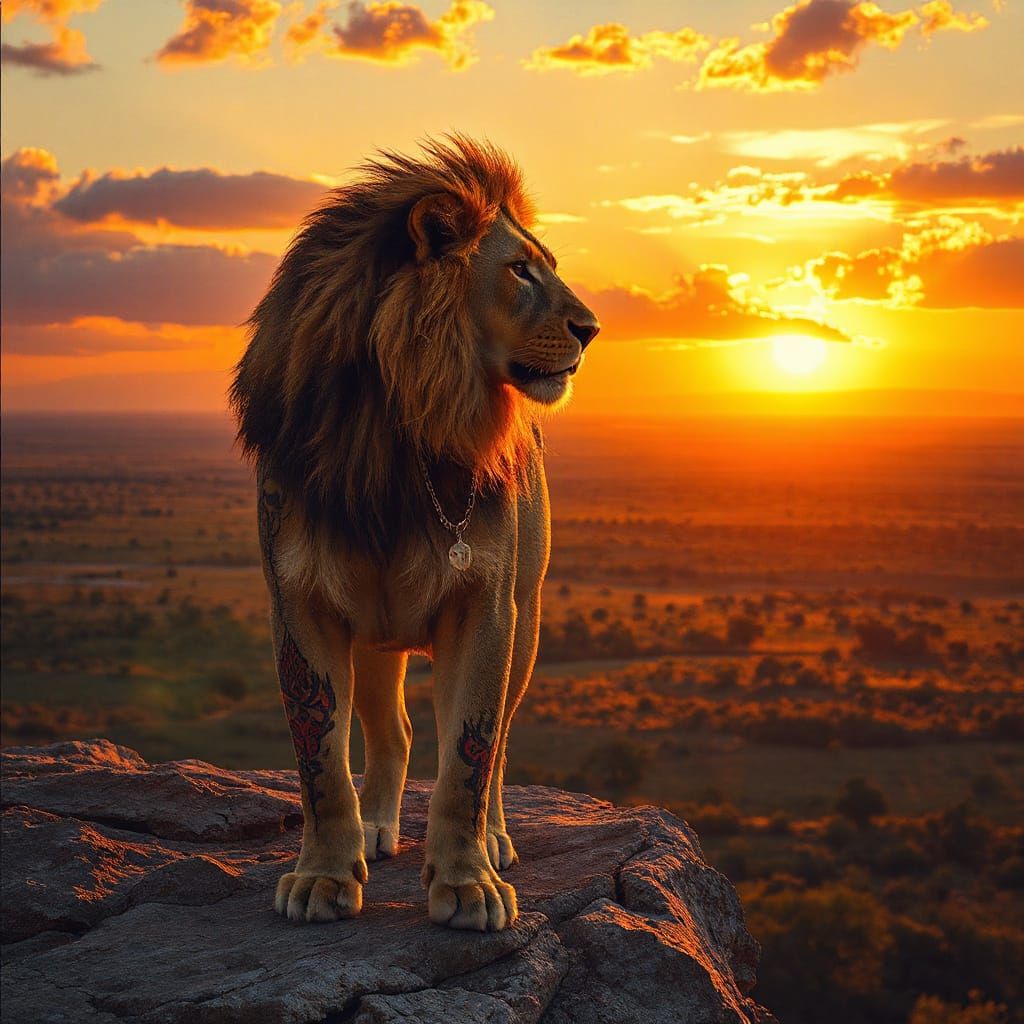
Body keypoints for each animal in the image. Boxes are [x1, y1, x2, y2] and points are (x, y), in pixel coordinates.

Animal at [230, 136, 599, 932]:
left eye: (547, 263)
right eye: (519, 270)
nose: (593, 328)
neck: (399, 427)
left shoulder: (485, 606)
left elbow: (468, 759)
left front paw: (468, 883)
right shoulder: (301, 604)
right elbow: (320, 767)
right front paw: (324, 875)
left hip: (527, 623)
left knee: (499, 746)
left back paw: (495, 841)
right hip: (374, 637)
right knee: (391, 732)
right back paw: (376, 825)